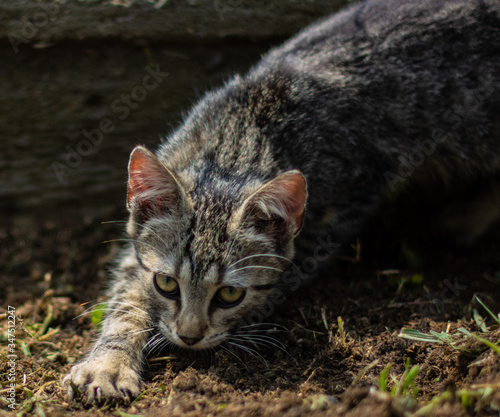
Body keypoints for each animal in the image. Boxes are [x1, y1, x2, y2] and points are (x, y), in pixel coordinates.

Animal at [62, 0, 500, 404]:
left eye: (231, 295)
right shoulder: (137, 251)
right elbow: (126, 299)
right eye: (167, 284)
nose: (188, 337)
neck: (237, 142)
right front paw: (109, 362)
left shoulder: (344, 208)